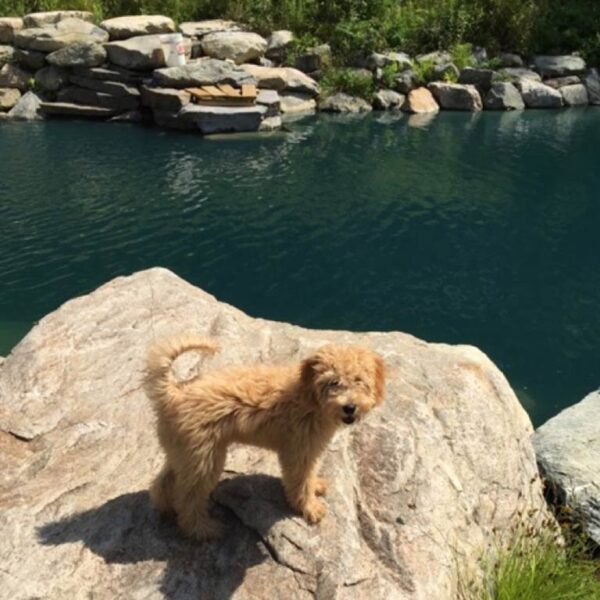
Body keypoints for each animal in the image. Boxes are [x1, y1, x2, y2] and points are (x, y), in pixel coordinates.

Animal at [144, 336, 384, 540]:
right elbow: (300, 481)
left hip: (184, 453)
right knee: (188, 497)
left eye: (359, 380)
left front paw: (315, 486)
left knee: (164, 482)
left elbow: (309, 475)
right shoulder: (299, 451)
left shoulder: (310, 449)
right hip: (203, 459)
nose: (349, 407)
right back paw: (202, 530)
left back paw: (166, 507)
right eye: (333, 383)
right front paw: (309, 508)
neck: (309, 398)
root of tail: (174, 393)